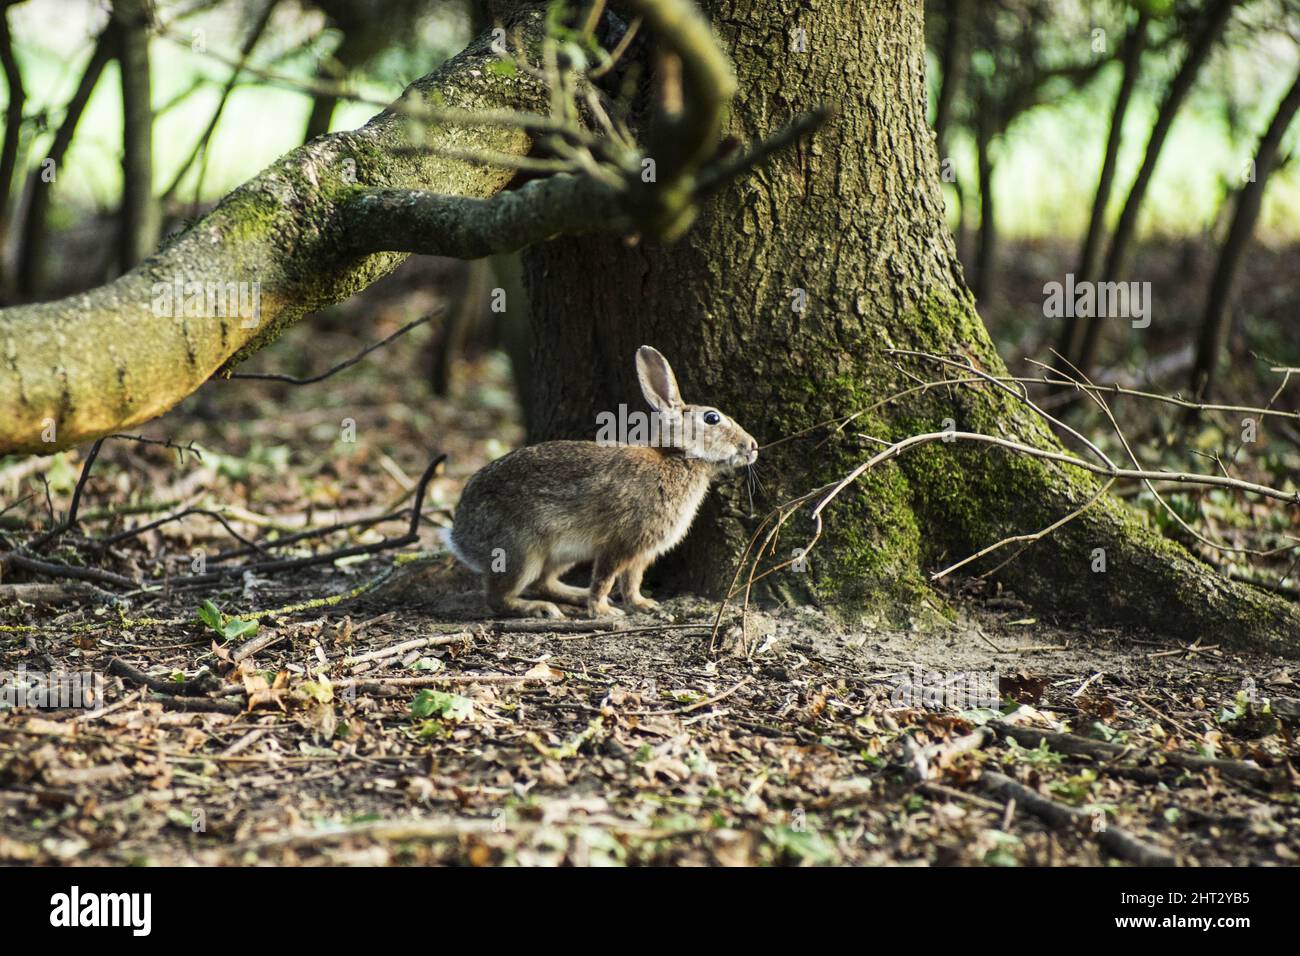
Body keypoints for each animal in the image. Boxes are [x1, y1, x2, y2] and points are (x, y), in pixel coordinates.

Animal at [441, 346, 758, 619]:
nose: (753, 446)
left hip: (562, 554)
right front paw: (603, 611)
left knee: (543, 583)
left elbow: (632, 580)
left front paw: (643, 605)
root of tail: (461, 535)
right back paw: (541, 609)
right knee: (500, 596)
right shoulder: (620, 543)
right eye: (712, 418)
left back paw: (576, 595)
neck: (678, 457)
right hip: (523, 550)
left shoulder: (642, 552)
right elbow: (606, 577)